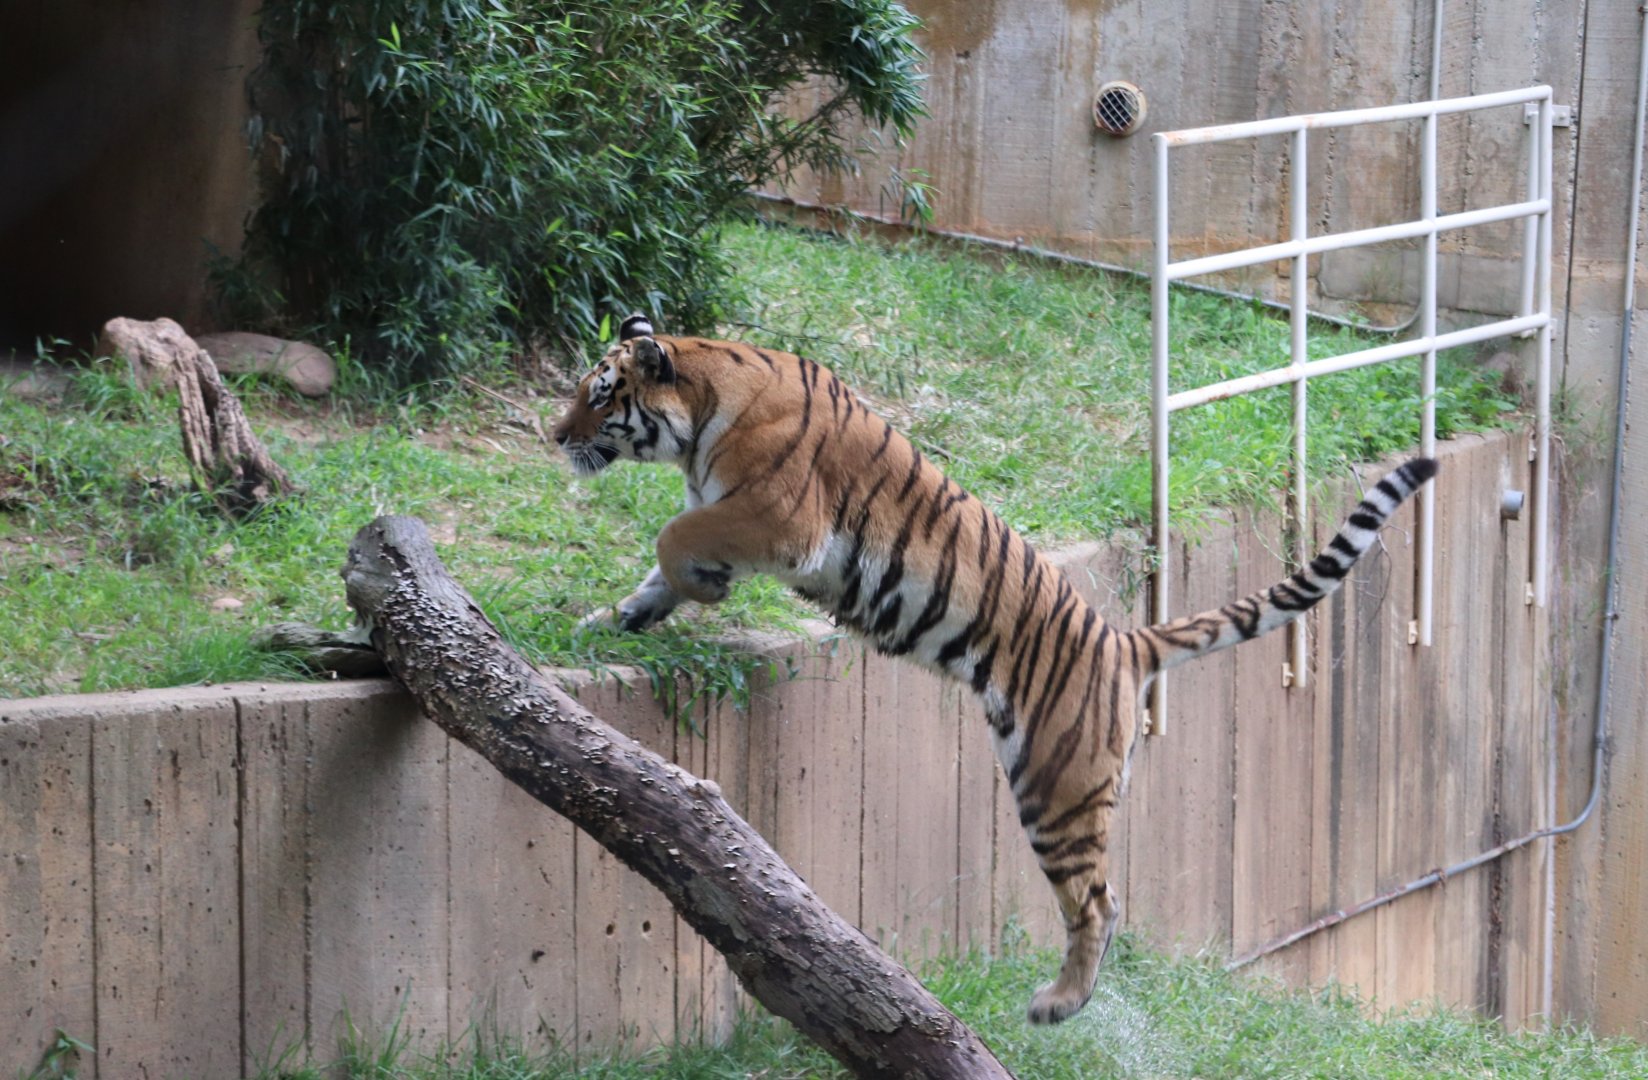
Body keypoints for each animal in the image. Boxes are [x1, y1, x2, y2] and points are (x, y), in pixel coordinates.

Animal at [551, 313, 1438, 1024]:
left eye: (601, 395)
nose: (555, 435)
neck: (704, 405)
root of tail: (1124, 642)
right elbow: (660, 567)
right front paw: (614, 619)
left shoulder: (779, 516)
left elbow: (672, 535)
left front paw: (696, 587)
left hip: (1057, 788)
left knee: (1099, 901)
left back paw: (1060, 1004)